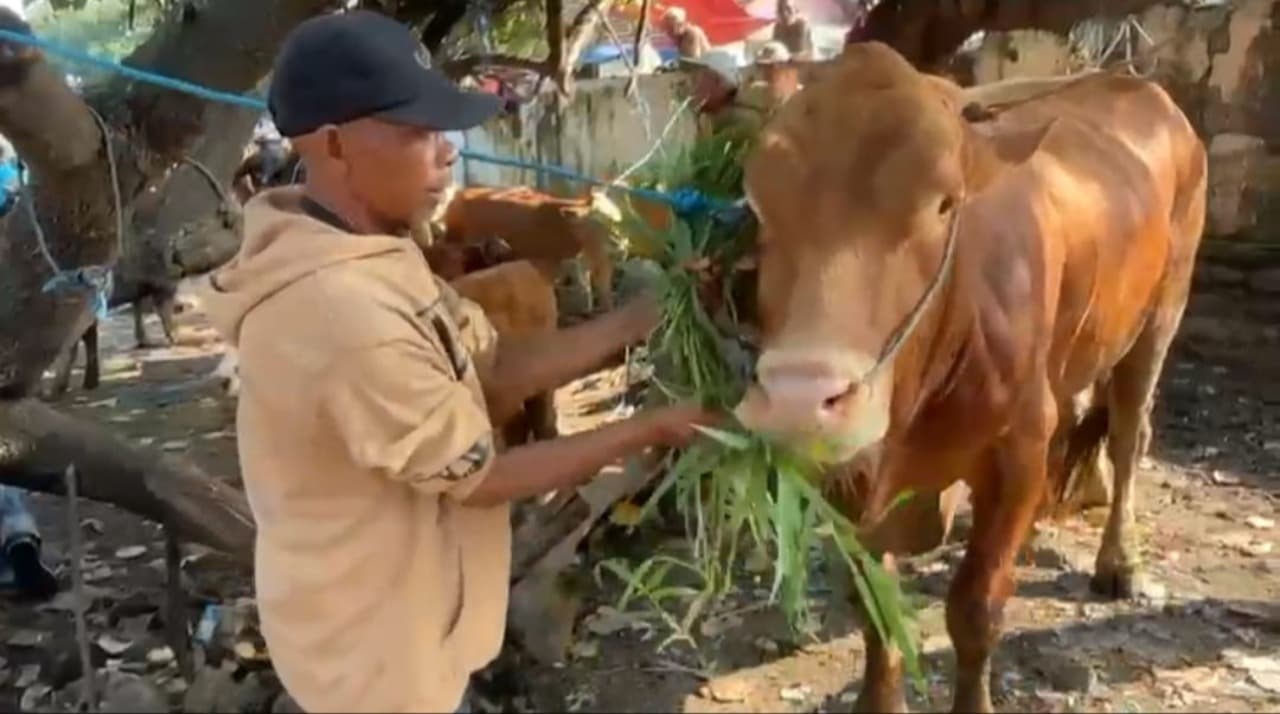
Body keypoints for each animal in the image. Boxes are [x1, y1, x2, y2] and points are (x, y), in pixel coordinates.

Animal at [737, 43, 1203, 711]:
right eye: (758, 205)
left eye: (944, 202)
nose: (800, 400)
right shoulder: (855, 472)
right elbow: (874, 604)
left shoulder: (1017, 448)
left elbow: (977, 608)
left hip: (1160, 315)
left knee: (1127, 438)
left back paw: (1120, 561)